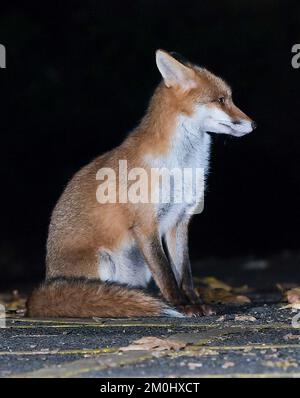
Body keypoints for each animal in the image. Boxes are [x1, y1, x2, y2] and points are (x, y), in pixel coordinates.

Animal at [26, 50, 255, 318]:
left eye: (228, 98)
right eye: (221, 100)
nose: (254, 124)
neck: (183, 165)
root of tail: (43, 286)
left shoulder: (179, 221)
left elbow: (184, 273)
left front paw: (195, 302)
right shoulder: (146, 224)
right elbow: (166, 274)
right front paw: (181, 306)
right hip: (103, 260)